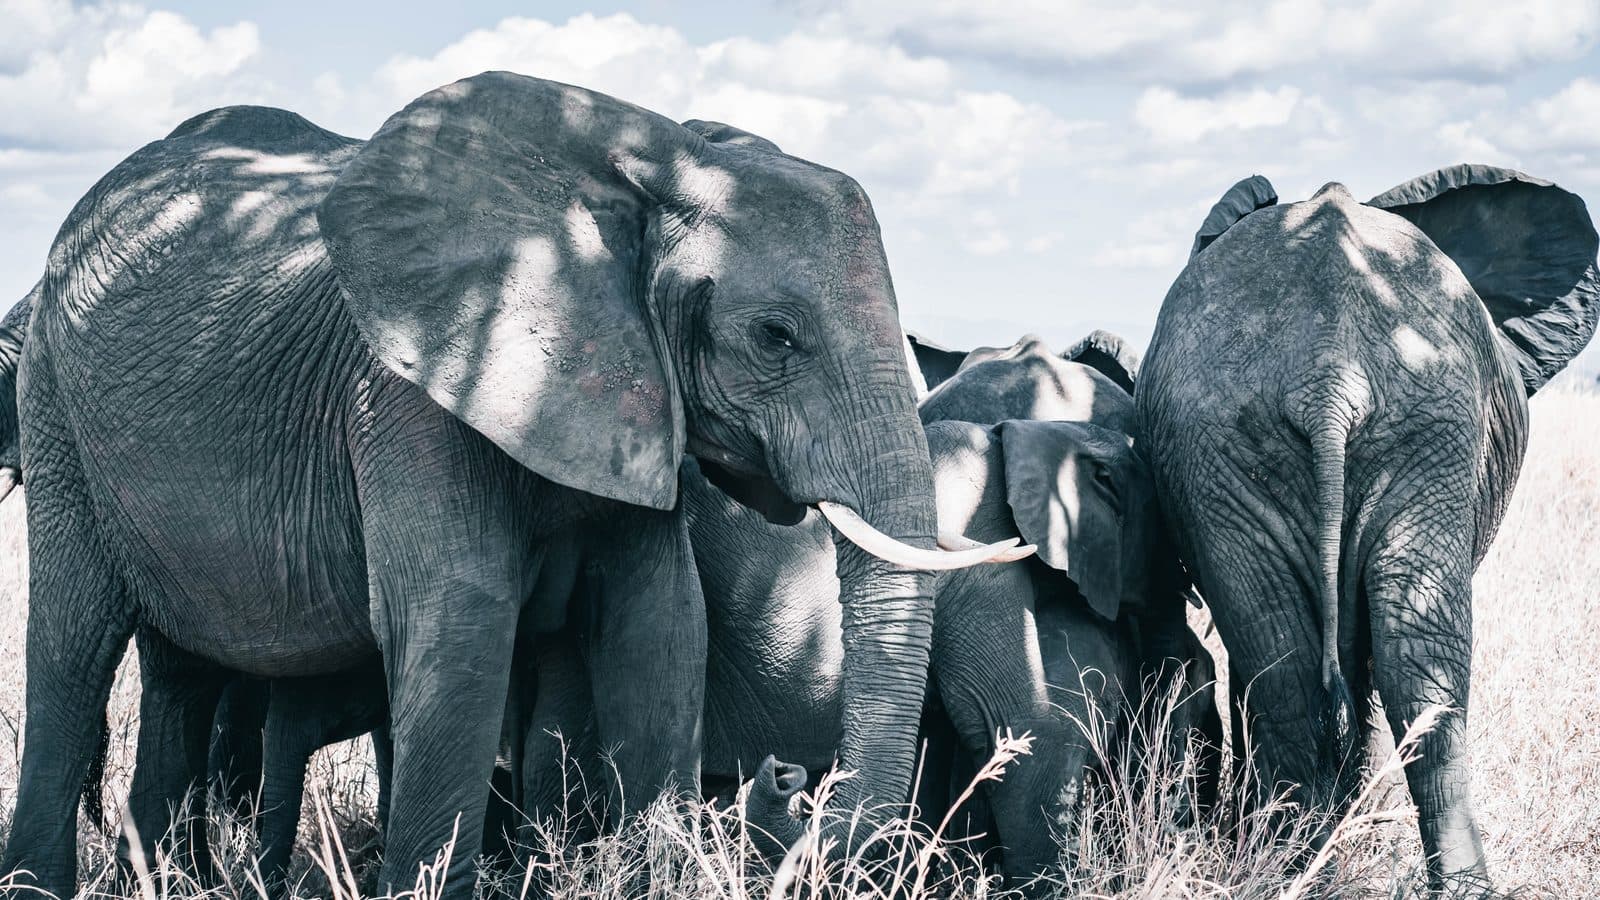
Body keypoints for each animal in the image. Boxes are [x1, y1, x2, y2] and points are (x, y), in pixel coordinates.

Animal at [3, 72, 1018, 898]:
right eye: (776, 336)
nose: (794, 787)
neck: (649, 166)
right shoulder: (413, 388)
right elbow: (459, 622)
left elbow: (659, 625)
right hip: (53, 401)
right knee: (75, 645)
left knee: (180, 665)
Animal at [1137, 165, 1599, 892]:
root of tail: (1328, 371)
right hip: (1382, 434)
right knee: (1380, 666)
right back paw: (1322, 871)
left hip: (1336, 432)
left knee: (1318, 666)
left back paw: (1317, 875)